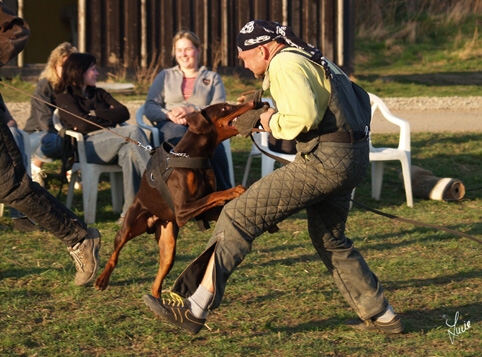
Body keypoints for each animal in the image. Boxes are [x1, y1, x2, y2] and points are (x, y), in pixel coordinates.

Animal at [93, 99, 256, 294]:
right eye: (225, 107)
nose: (252, 101)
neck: (193, 156)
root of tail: (154, 220)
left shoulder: (200, 211)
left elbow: (215, 203)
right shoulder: (182, 210)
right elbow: (214, 195)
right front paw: (234, 190)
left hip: (168, 242)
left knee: (158, 278)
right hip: (130, 225)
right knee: (115, 252)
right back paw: (102, 279)